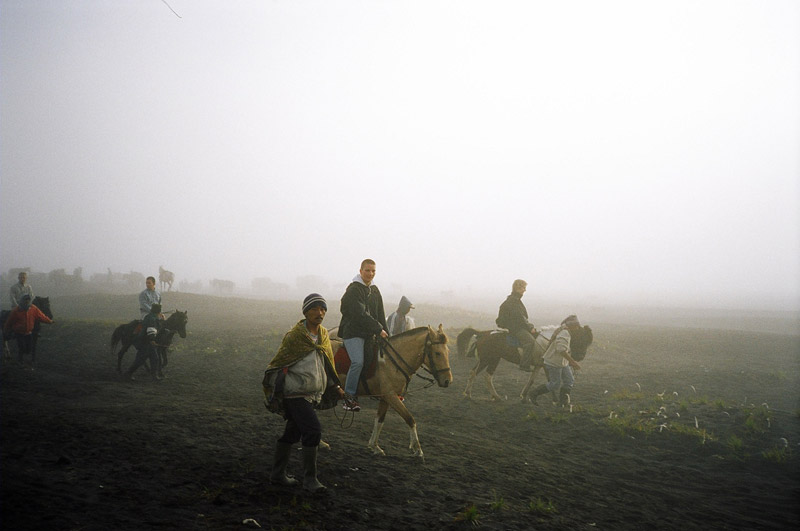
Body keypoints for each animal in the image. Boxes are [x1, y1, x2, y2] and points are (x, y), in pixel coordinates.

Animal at [330, 324, 450, 458]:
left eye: (447, 352)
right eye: (437, 353)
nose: (447, 380)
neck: (392, 362)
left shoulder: (385, 398)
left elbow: (380, 420)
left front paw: (374, 446)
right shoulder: (391, 396)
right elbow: (410, 419)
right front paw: (417, 449)